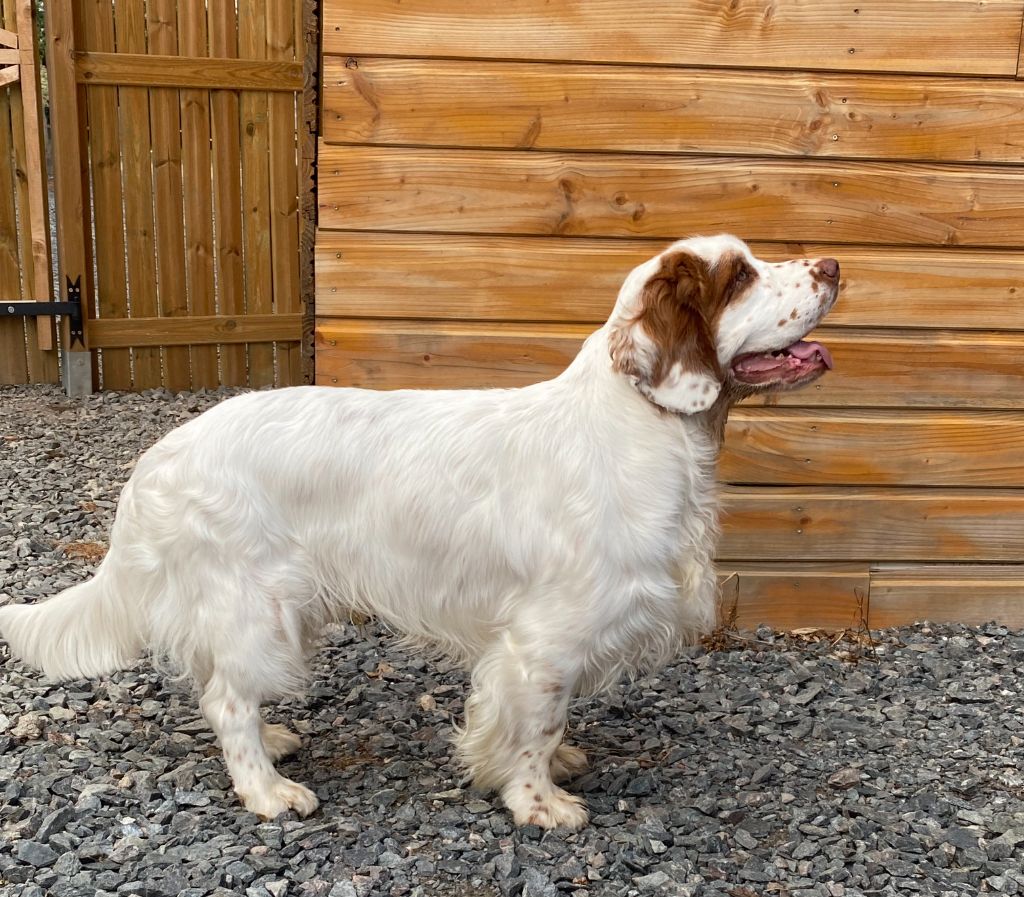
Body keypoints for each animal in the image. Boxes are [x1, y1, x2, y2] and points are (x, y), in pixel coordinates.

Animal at [0, 234, 838, 829]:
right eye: (741, 276)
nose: (834, 264)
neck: (645, 422)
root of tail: (156, 460)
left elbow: (548, 721)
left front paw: (557, 763)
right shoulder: (544, 636)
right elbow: (535, 723)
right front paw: (538, 801)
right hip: (256, 606)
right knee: (227, 700)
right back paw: (269, 789)